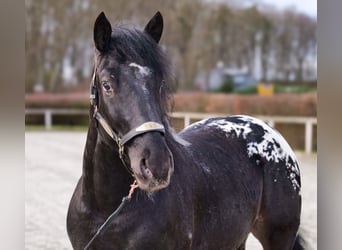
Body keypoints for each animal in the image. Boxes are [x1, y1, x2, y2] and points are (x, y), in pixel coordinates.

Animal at [67, 10, 304, 249]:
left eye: (159, 84)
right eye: (107, 85)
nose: (157, 165)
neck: (107, 211)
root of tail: (267, 130)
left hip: (279, 236)